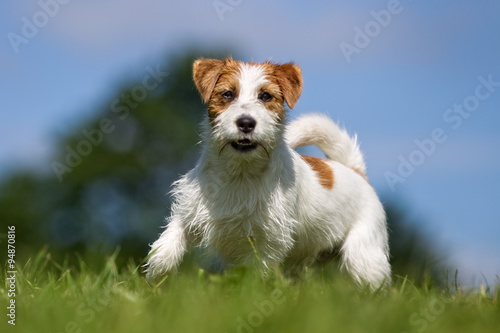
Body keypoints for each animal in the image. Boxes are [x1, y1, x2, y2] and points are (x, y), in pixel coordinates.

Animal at [145, 57, 390, 288]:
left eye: (265, 96)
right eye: (227, 94)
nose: (246, 123)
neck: (240, 172)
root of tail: (355, 171)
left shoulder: (266, 241)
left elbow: (253, 272)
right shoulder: (189, 212)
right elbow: (167, 245)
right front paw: (157, 280)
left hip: (363, 253)